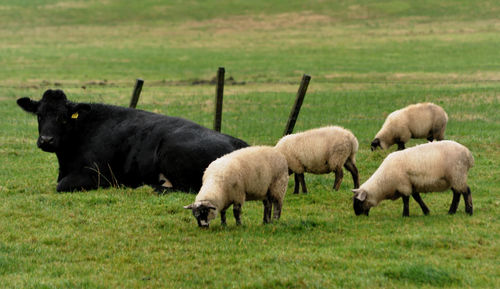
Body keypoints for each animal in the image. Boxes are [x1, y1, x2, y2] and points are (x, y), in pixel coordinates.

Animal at [17, 88, 248, 191]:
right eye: (39, 115)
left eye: (63, 118)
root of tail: (237, 142)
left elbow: (61, 185)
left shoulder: (95, 175)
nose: (46, 140)